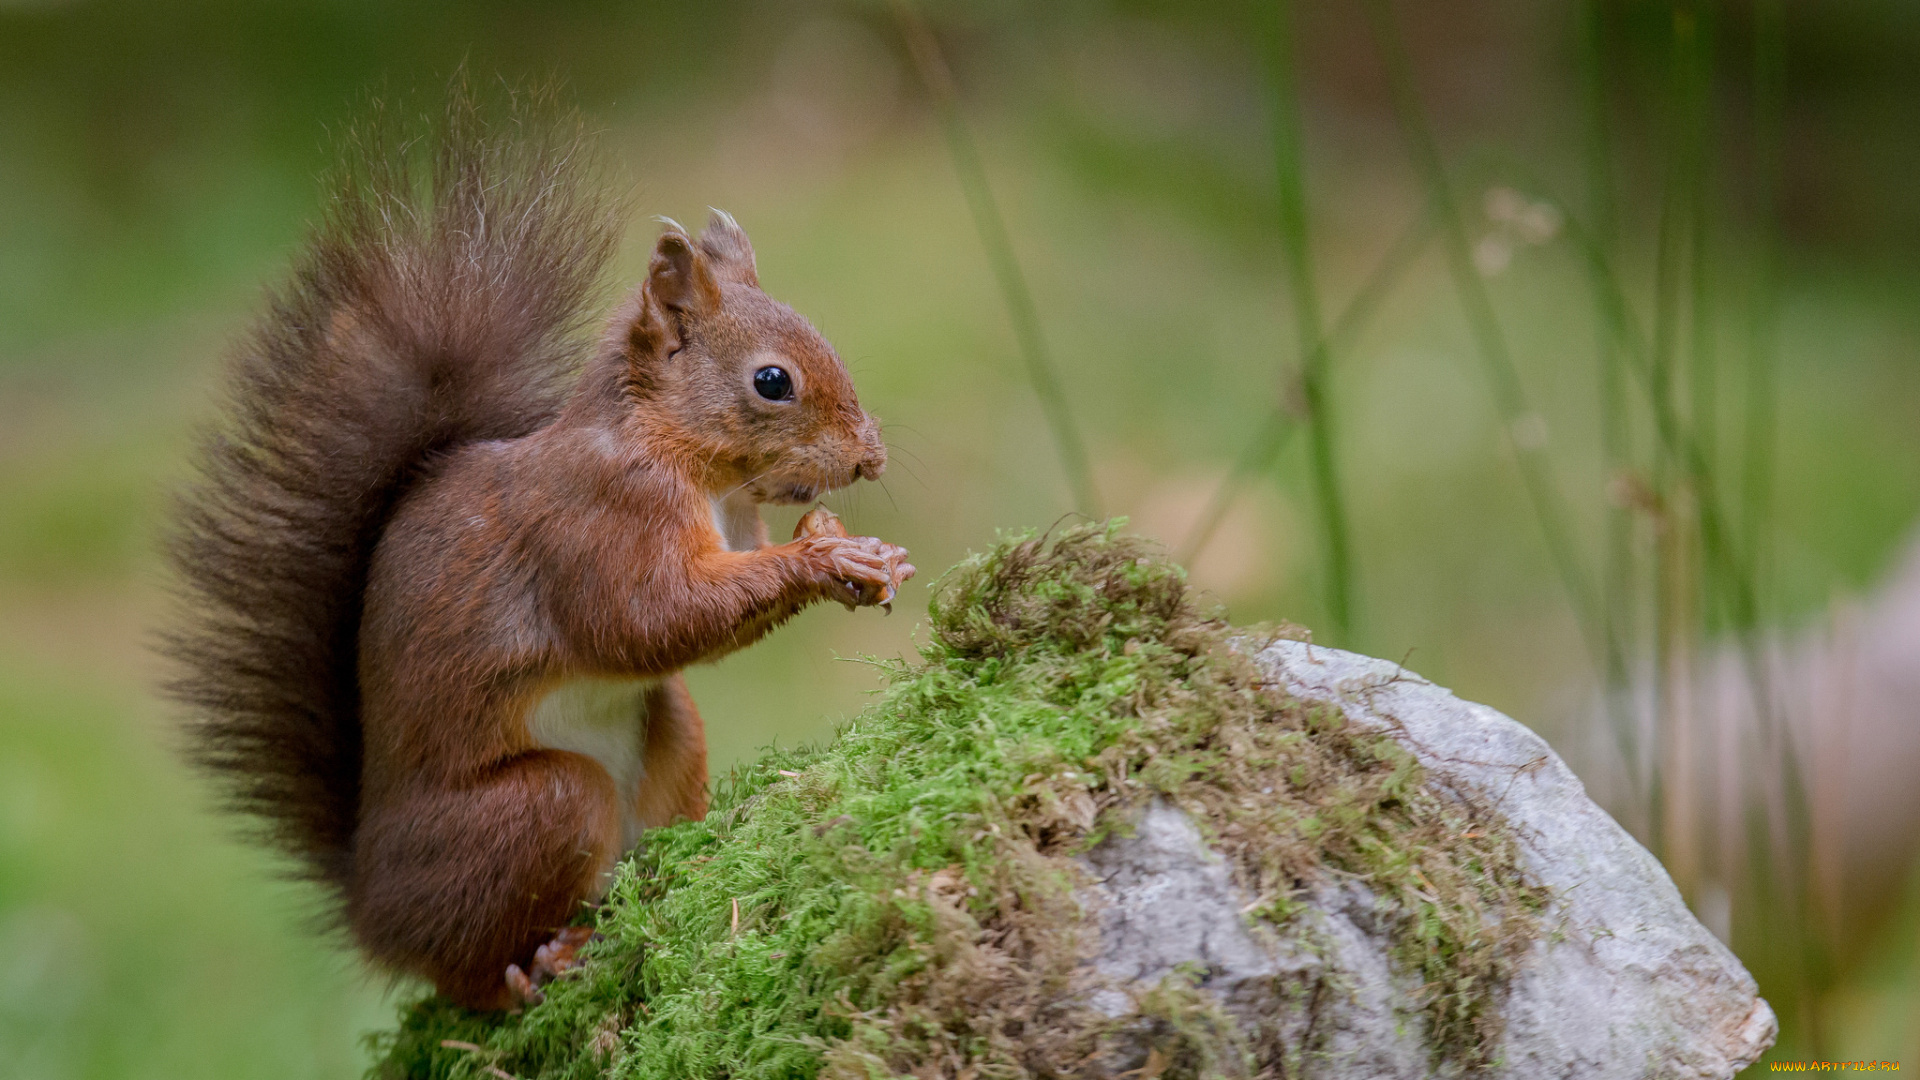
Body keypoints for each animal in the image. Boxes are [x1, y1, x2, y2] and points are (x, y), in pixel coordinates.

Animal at [157, 94, 906, 1006]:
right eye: (772, 382)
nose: (870, 457)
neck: (691, 465)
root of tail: (370, 904)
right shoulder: (595, 523)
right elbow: (650, 620)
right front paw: (822, 564)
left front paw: (848, 548)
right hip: (541, 805)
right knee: (469, 969)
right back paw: (538, 965)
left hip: (671, 729)